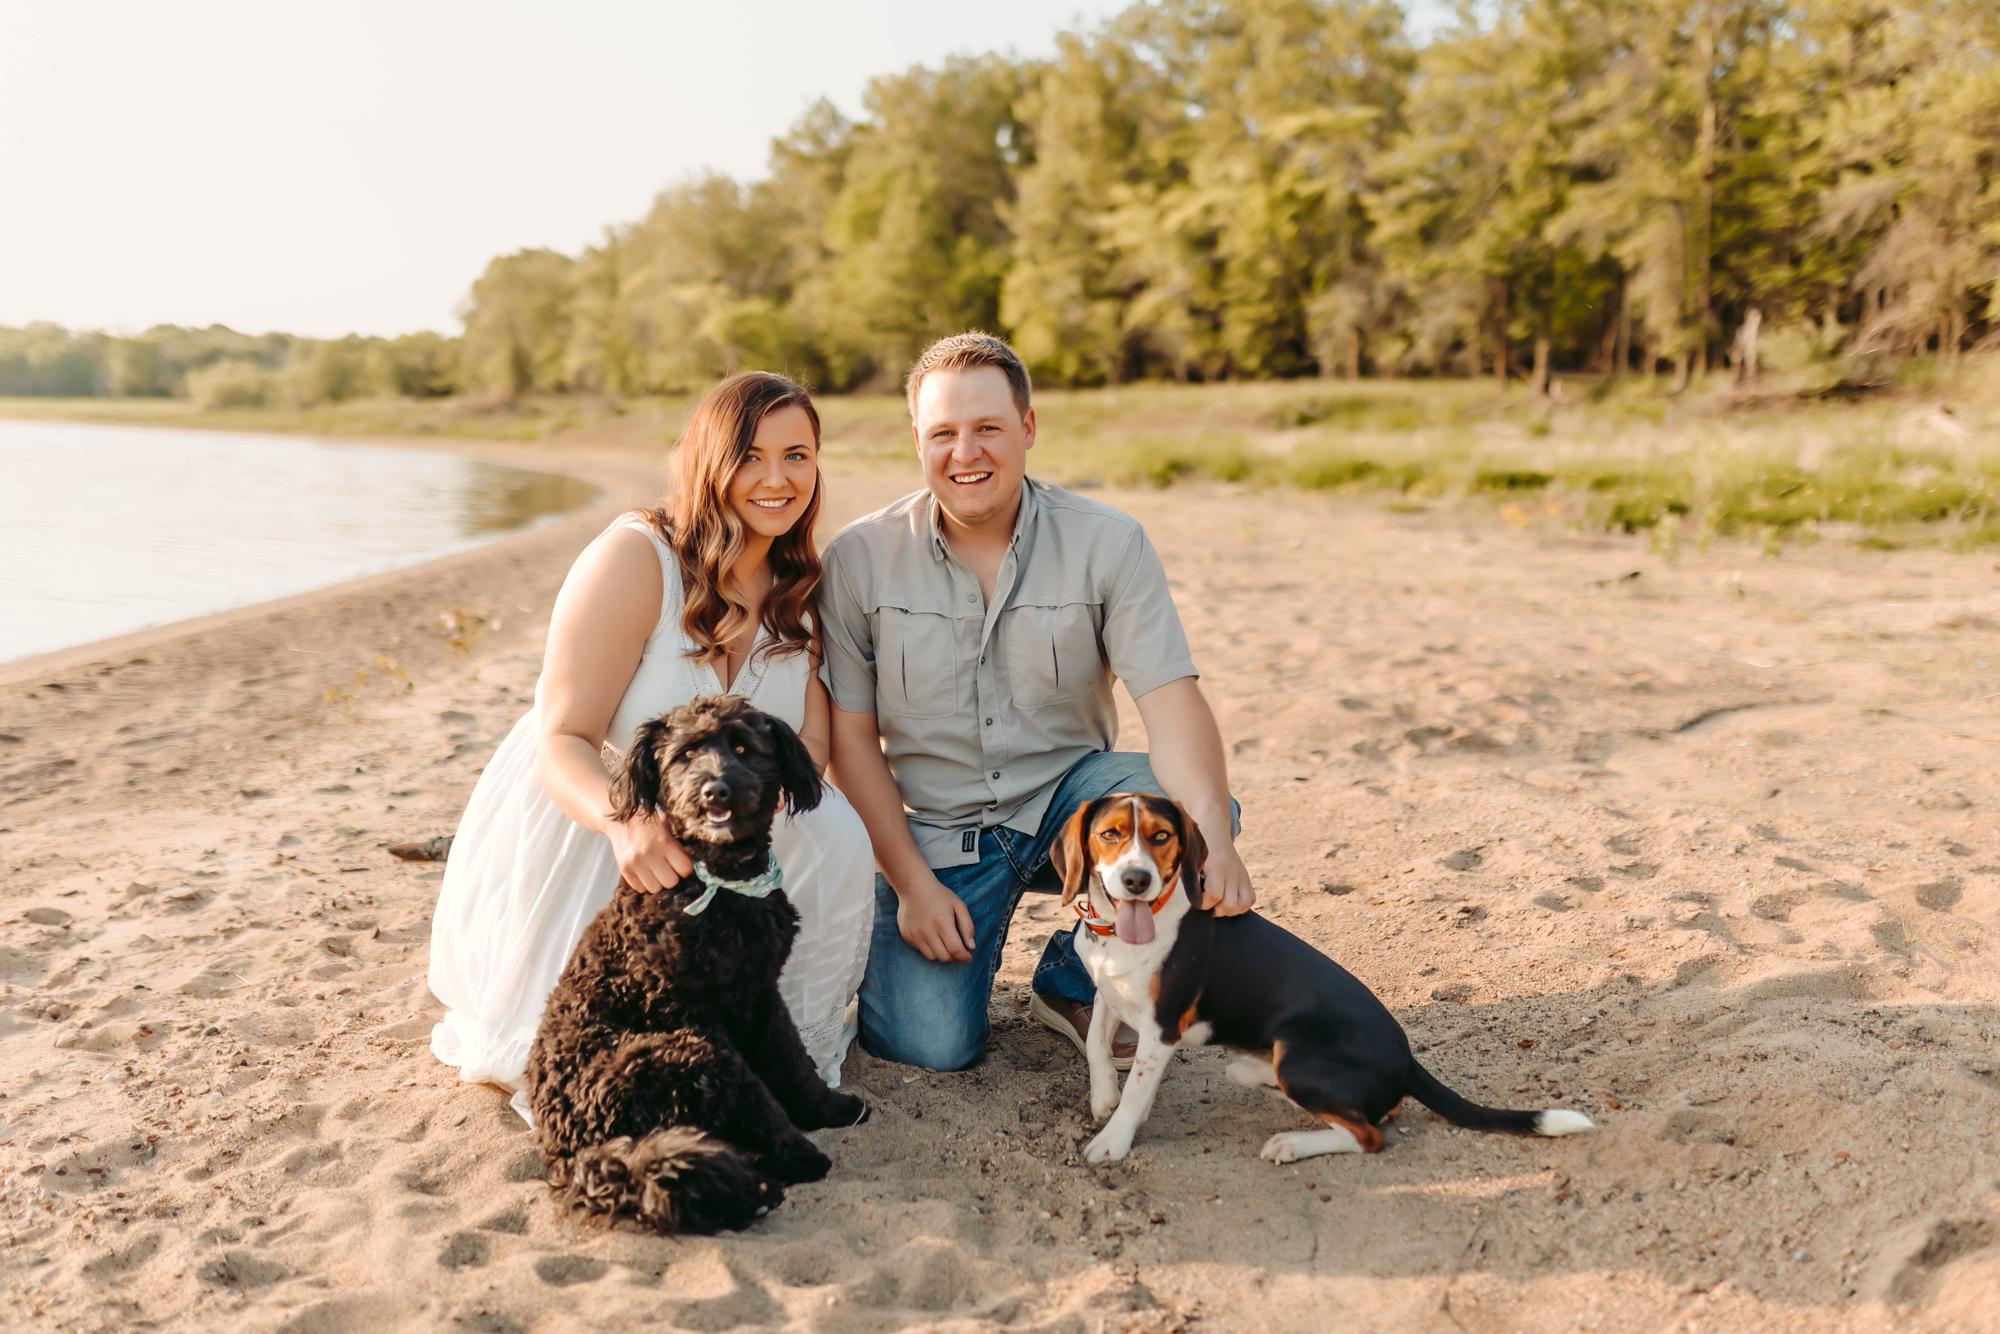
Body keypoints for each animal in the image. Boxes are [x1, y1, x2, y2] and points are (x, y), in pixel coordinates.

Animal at [523, 695, 867, 1234]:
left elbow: (793, 1061)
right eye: (684, 755)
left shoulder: (763, 992)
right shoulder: (694, 1014)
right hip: (679, 1055)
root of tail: (566, 1151)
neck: (722, 887)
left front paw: (827, 1107)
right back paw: (767, 1180)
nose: (715, 790)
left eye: (743, 747)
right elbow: (759, 1095)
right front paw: (801, 1149)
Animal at [1050, 793, 1593, 1166]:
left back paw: (1291, 1142)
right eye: (1111, 834)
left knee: (1369, 1135)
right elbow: (1098, 1046)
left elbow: (1138, 1087)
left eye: (1161, 836)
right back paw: (1253, 1074)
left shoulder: (1162, 1027)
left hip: (1298, 1054)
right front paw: (1104, 1098)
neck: (1122, 932)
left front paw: (1113, 1141)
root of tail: (1406, 1058)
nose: (1136, 879)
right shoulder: (1110, 992)